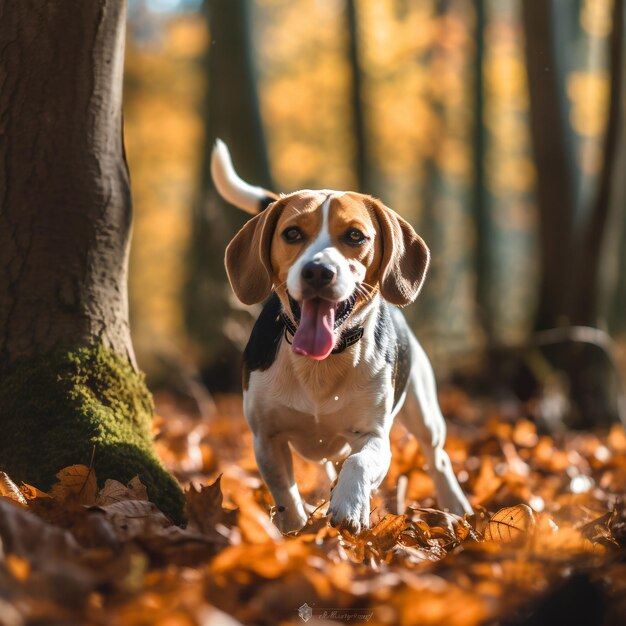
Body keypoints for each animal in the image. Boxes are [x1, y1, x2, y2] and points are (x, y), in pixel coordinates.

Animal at [210, 141, 468, 532]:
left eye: (355, 236)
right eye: (292, 234)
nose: (318, 271)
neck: (322, 363)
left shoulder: (375, 435)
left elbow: (360, 462)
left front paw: (349, 505)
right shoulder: (265, 438)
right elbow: (285, 495)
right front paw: (297, 531)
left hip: (425, 413)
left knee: (436, 459)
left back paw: (456, 505)